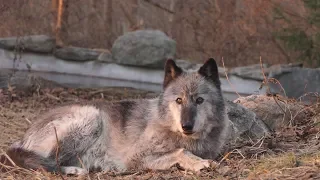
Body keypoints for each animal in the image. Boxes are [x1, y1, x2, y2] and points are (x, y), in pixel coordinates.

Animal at [3, 58, 229, 175]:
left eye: (199, 100)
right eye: (179, 100)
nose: (186, 126)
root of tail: (23, 137)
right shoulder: (135, 157)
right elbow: (181, 152)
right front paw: (199, 162)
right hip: (91, 117)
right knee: (44, 162)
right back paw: (73, 171)